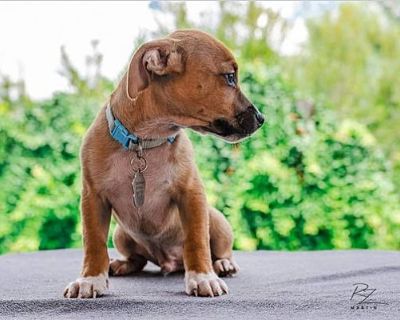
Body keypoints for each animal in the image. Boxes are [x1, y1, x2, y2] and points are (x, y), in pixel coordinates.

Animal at [64, 28, 264, 298]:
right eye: (230, 77)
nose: (261, 118)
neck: (145, 140)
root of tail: (168, 261)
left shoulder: (191, 195)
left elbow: (196, 240)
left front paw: (203, 277)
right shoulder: (93, 198)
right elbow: (94, 242)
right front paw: (90, 279)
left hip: (219, 222)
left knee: (220, 250)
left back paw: (223, 264)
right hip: (121, 234)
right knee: (137, 259)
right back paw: (121, 264)